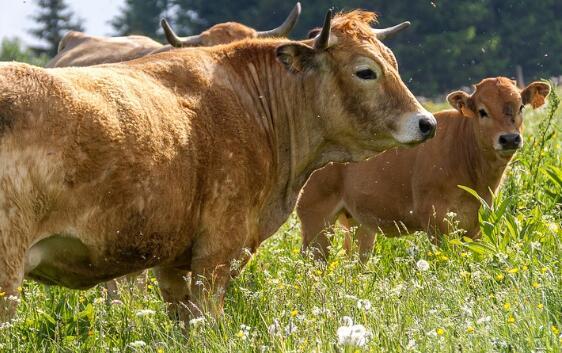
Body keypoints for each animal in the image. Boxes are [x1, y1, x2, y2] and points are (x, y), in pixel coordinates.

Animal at [296, 76, 548, 262]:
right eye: (482, 111)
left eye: (520, 107)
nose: (509, 139)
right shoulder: (435, 221)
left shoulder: (476, 223)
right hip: (315, 218)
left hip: (358, 222)